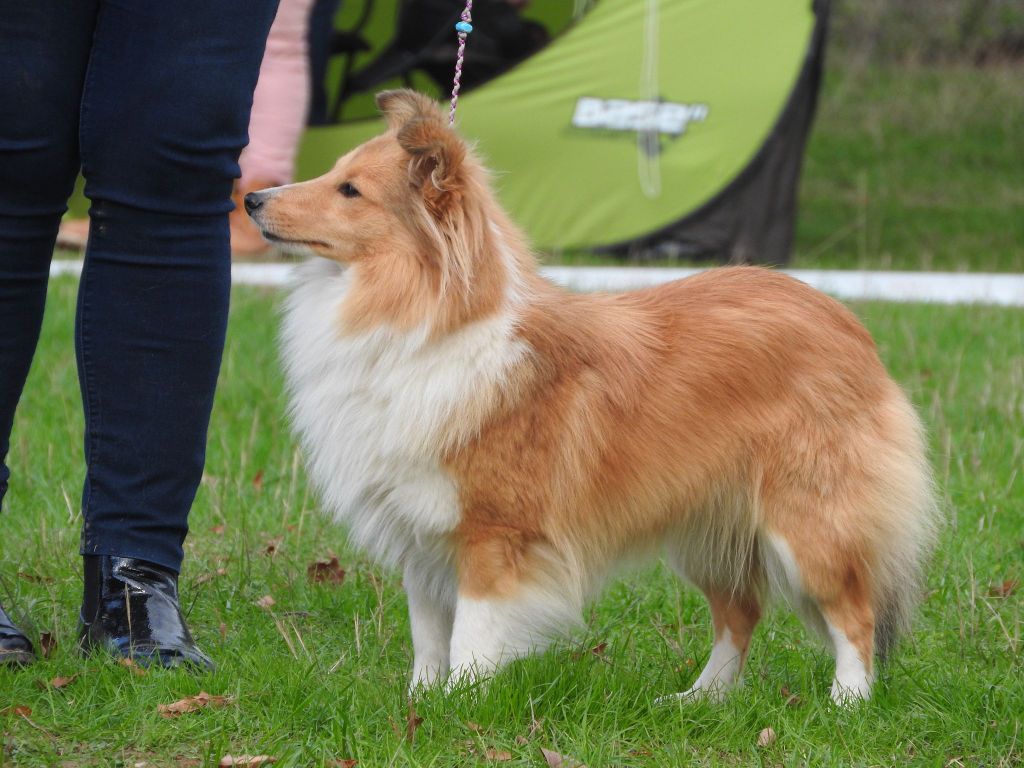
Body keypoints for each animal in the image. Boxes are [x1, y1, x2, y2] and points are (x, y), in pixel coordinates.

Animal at [245, 88, 937, 704]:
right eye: (335, 173)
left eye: (350, 190)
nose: (250, 197)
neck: (423, 321)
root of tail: (845, 322)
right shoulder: (422, 535)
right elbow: (428, 637)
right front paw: (420, 702)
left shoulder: (492, 537)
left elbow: (469, 635)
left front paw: (459, 707)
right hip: (706, 527)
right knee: (740, 613)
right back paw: (699, 700)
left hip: (808, 521)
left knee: (854, 613)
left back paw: (846, 705)